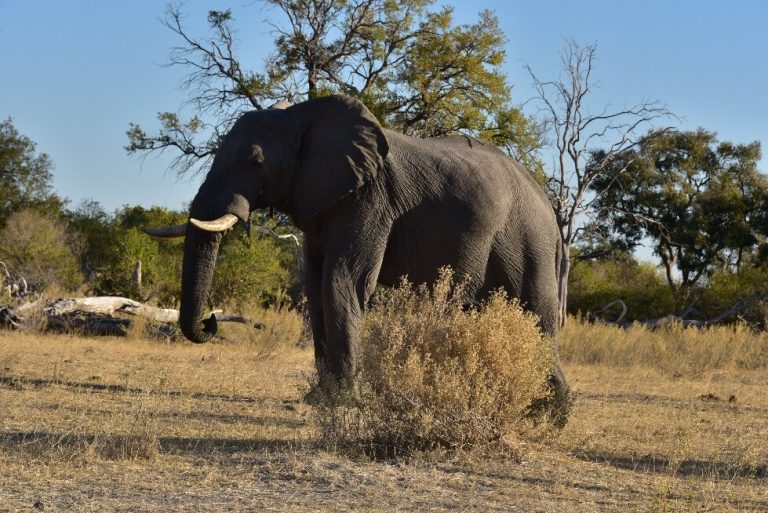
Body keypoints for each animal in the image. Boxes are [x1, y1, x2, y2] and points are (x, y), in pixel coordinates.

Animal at [146, 95, 570, 420]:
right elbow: (316, 288)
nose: (211, 319)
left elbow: (342, 279)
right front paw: (319, 398)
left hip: (526, 238)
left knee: (537, 315)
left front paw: (342, 402)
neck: (302, 116)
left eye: (256, 162)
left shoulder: (370, 197)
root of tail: (550, 207)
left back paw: (551, 416)